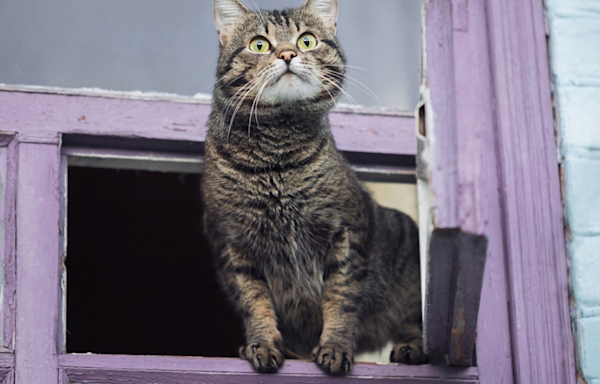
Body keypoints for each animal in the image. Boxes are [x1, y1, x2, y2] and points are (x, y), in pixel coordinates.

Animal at [202, 0, 426, 376]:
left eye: (306, 41)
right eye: (259, 44)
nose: (288, 53)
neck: (276, 160)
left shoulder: (346, 235)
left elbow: (341, 300)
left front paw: (335, 348)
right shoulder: (233, 246)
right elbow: (254, 303)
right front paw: (263, 344)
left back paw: (413, 347)